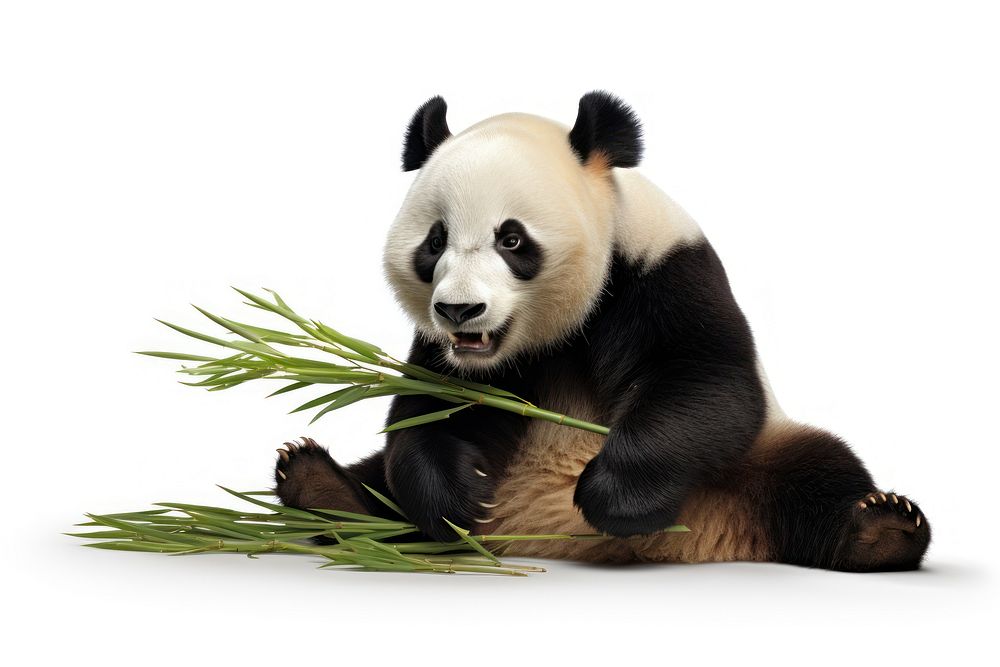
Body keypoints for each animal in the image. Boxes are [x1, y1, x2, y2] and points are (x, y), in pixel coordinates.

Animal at [274, 92, 931, 572]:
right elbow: (431, 412)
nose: (460, 310)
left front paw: (611, 495)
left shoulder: (661, 270)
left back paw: (881, 529)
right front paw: (459, 499)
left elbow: (708, 384)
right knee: (378, 481)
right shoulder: (453, 355)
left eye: (511, 239)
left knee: (816, 473)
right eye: (435, 241)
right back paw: (320, 488)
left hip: (762, 454)